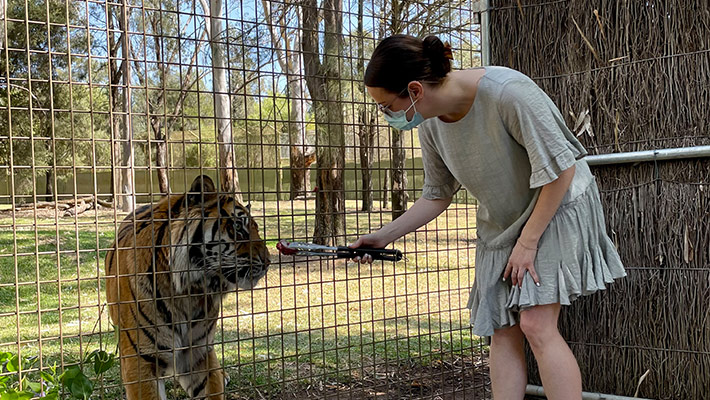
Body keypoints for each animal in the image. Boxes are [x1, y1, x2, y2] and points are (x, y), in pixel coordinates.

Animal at [105, 175, 271, 400]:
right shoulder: (141, 361)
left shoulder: (199, 352)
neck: (190, 290)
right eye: (237, 227)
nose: (269, 261)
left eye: (256, 228)